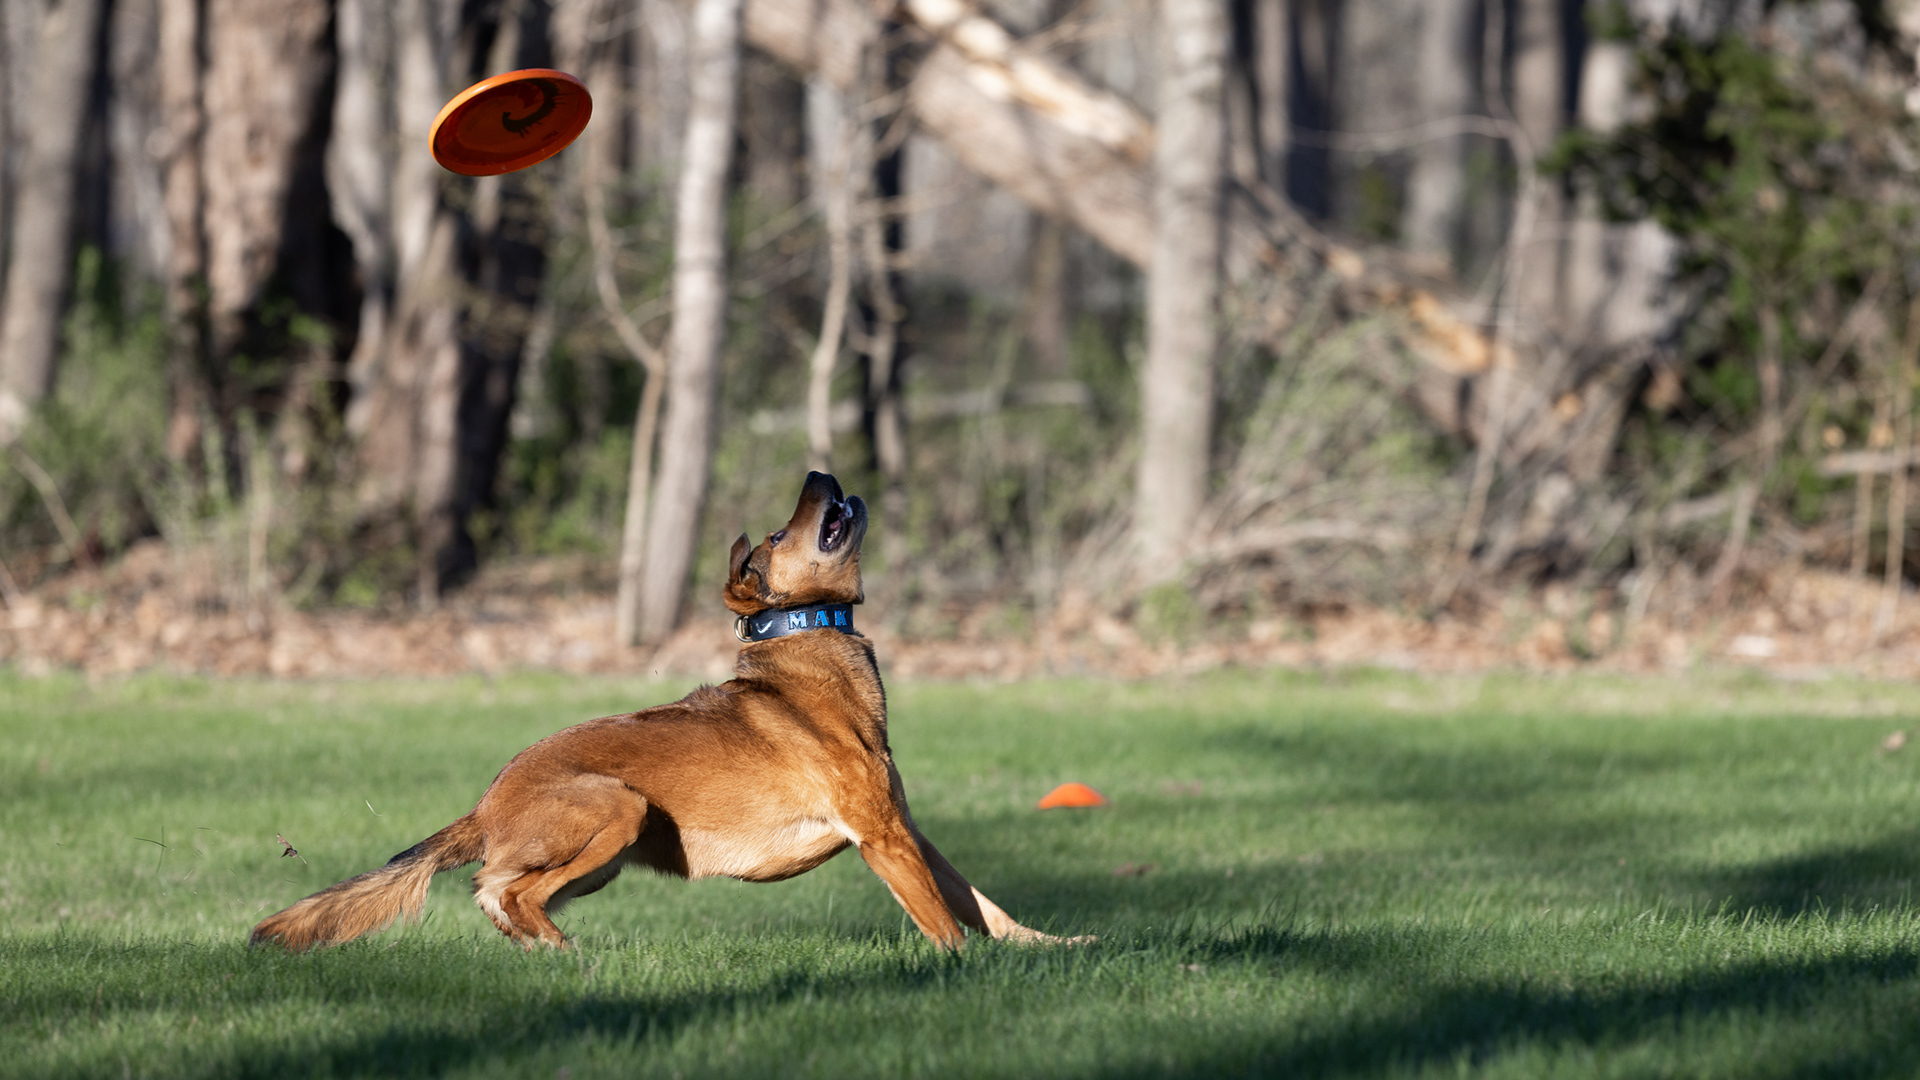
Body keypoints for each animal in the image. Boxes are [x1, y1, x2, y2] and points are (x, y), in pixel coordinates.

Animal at [251, 472, 1072, 951]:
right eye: (780, 533)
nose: (819, 472)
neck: (807, 644)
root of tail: (484, 806)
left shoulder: (909, 831)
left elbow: (980, 903)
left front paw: (1046, 947)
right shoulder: (882, 837)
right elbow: (944, 920)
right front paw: (962, 971)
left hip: (605, 858)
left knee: (495, 892)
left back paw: (546, 951)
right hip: (618, 808)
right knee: (509, 889)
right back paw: (565, 951)